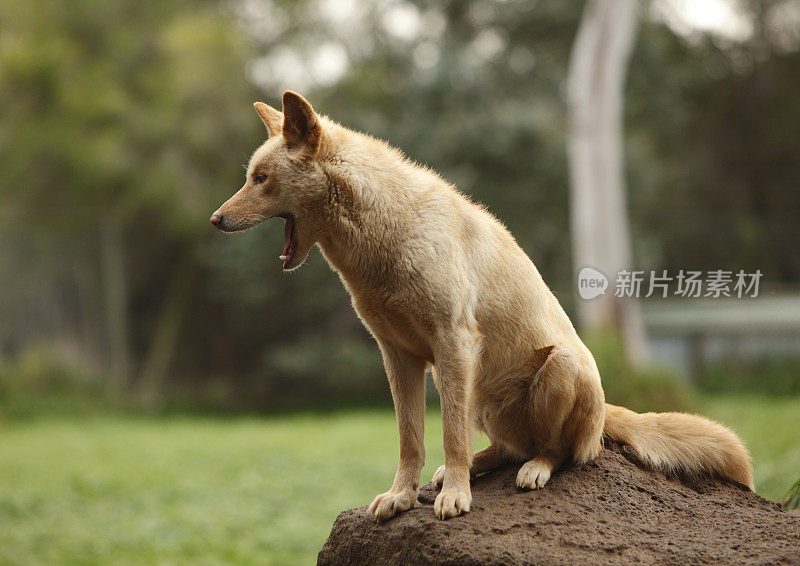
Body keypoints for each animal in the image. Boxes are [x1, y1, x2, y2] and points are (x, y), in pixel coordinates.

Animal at [209, 91, 752, 520]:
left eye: (261, 178)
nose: (214, 219)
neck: (386, 234)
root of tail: (605, 412)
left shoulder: (453, 344)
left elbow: (447, 433)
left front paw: (455, 498)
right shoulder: (399, 358)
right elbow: (411, 439)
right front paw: (401, 496)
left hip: (559, 366)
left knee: (554, 451)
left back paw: (530, 470)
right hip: (484, 400)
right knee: (502, 449)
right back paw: (469, 469)